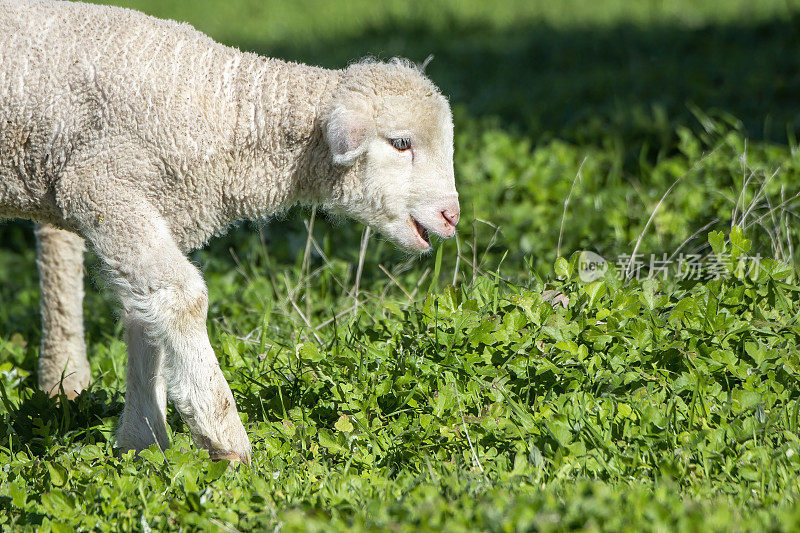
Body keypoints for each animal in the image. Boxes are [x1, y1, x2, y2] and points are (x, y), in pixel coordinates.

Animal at [0, 0, 460, 464]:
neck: (227, 114)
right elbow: (181, 297)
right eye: (401, 143)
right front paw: (223, 438)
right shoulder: (99, 184)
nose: (452, 216)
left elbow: (143, 312)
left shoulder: (157, 210)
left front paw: (144, 443)